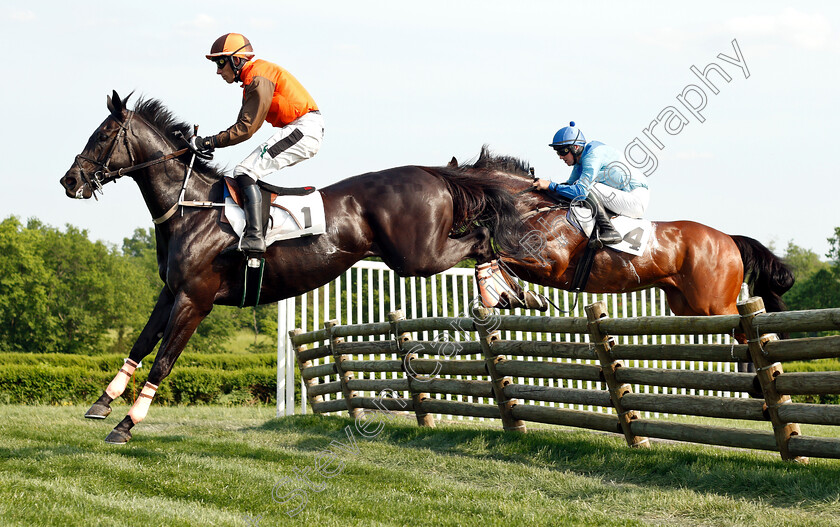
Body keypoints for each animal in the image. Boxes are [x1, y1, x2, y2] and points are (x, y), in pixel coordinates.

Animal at [62, 92, 528, 446]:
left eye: (103, 135)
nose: (69, 181)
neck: (190, 208)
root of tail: (434, 173)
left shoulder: (194, 299)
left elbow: (162, 361)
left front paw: (126, 425)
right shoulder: (171, 292)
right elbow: (140, 344)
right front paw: (103, 402)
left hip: (418, 256)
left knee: (481, 237)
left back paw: (500, 291)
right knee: (481, 237)